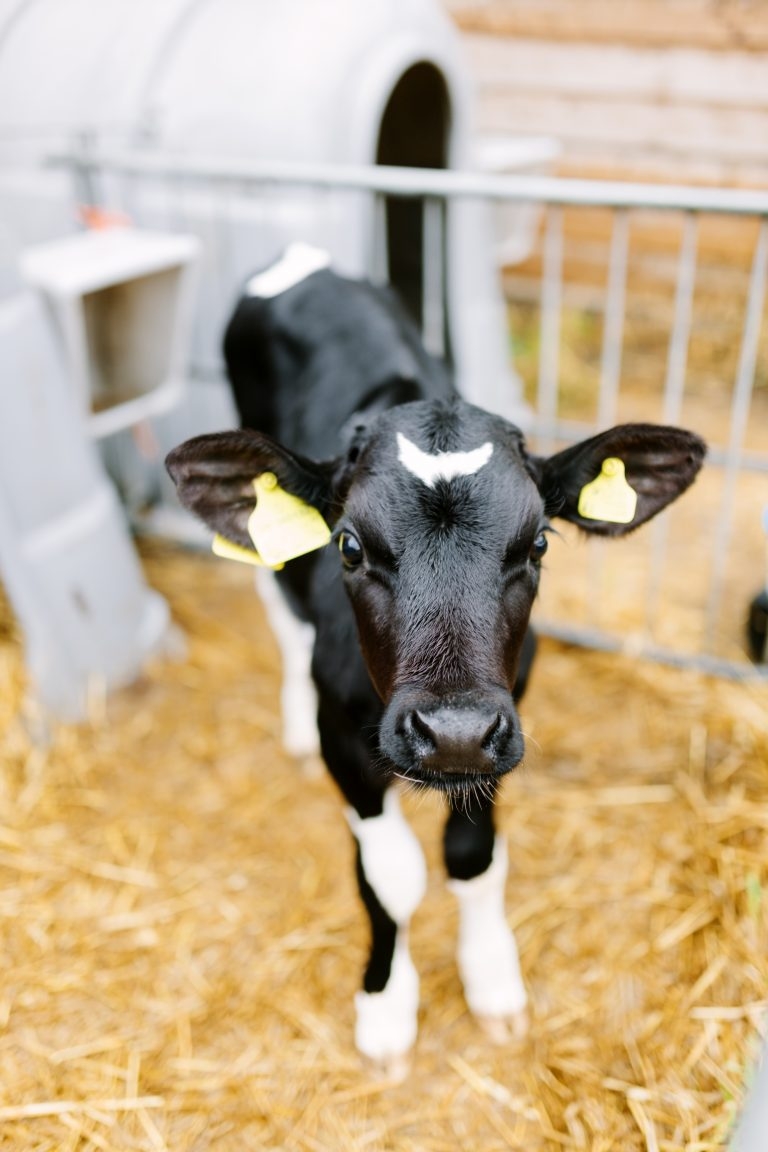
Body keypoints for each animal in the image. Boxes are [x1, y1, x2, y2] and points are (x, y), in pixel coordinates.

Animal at [166, 243, 704, 1069]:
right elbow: (390, 877)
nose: (448, 732)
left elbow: (472, 856)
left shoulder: (499, 731)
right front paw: (387, 1007)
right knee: (276, 600)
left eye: (539, 543)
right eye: (350, 546)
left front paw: (493, 982)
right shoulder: (347, 741)